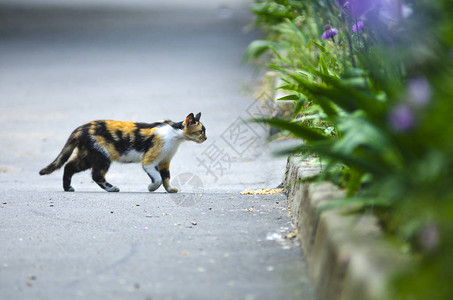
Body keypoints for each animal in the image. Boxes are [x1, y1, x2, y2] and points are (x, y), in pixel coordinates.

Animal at [39, 112, 206, 192]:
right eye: (200, 132)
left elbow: (166, 177)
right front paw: (151, 188)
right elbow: (158, 179)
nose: (206, 138)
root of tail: (82, 127)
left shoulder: (165, 161)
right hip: (101, 156)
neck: (174, 134)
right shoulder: (149, 161)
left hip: (87, 155)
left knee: (69, 166)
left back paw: (67, 188)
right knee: (96, 175)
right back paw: (112, 188)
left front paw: (170, 189)